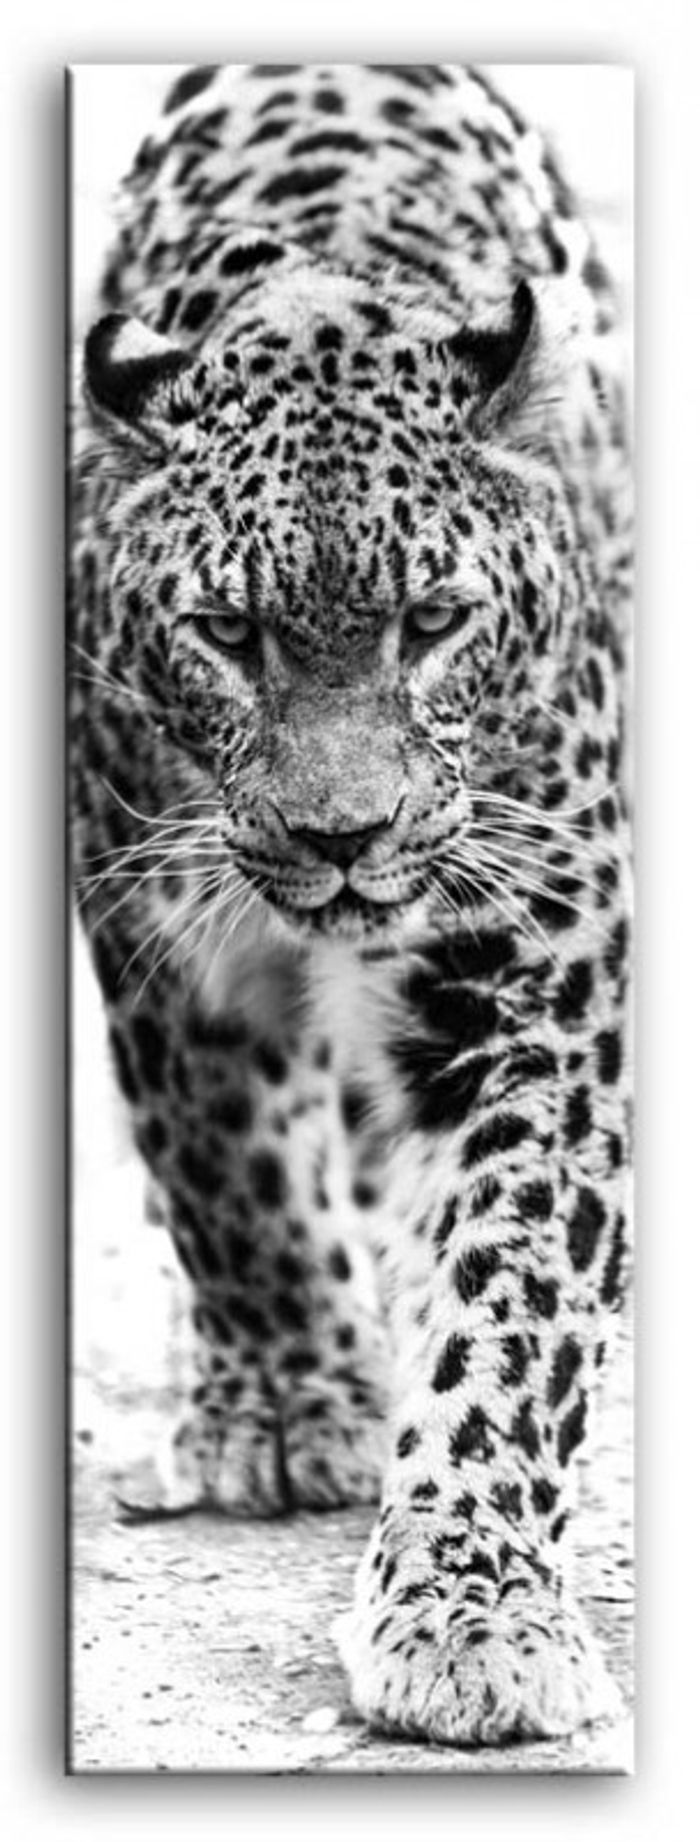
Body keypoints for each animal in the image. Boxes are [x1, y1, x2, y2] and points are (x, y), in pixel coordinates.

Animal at [70, 62, 632, 1749]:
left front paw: (473, 1609)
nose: (342, 837)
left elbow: (512, 1293)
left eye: (433, 621)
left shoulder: (531, 987)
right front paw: (288, 1400)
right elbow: (227, 1170)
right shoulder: (152, 924)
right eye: (226, 631)